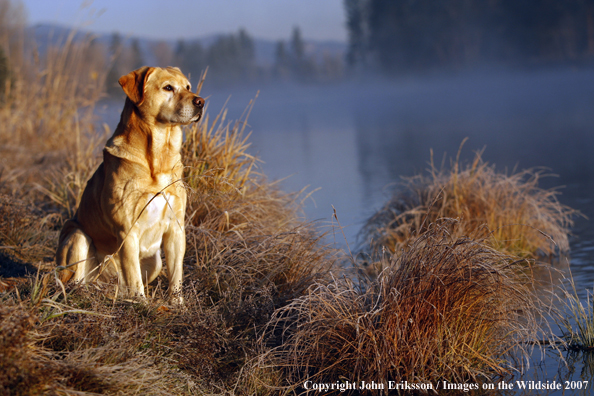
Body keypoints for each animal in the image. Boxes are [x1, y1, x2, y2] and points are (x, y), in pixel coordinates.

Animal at [56, 65, 204, 304]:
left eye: (188, 86)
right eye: (168, 87)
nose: (201, 101)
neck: (158, 158)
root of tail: (104, 281)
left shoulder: (176, 228)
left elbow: (176, 276)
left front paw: (177, 305)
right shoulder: (127, 230)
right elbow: (134, 277)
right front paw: (142, 305)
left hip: (155, 262)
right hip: (77, 236)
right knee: (75, 281)